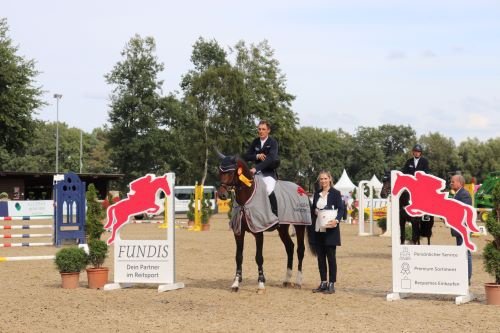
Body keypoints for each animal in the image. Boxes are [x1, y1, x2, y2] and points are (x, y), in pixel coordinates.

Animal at [217, 154, 310, 292]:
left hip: (300, 226)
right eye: (220, 172)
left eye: (231, 172)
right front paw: (236, 283)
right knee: (290, 247)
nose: (222, 195)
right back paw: (287, 280)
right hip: (282, 228)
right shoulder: (238, 232)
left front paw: (261, 283)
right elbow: (238, 257)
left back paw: (298, 281)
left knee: (300, 250)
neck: (246, 197)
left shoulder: (258, 231)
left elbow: (259, 257)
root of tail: (301, 189)